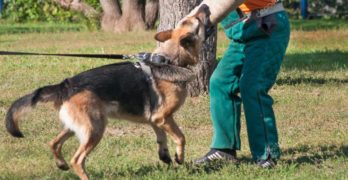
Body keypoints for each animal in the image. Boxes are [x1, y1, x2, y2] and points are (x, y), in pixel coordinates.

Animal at [4, 4, 209, 180]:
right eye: (195, 20)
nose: (205, 6)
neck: (169, 60)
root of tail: (66, 85)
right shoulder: (164, 117)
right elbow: (181, 137)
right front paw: (179, 157)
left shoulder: (156, 119)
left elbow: (162, 138)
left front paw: (165, 156)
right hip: (95, 128)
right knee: (77, 159)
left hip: (77, 127)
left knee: (54, 143)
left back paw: (61, 164)